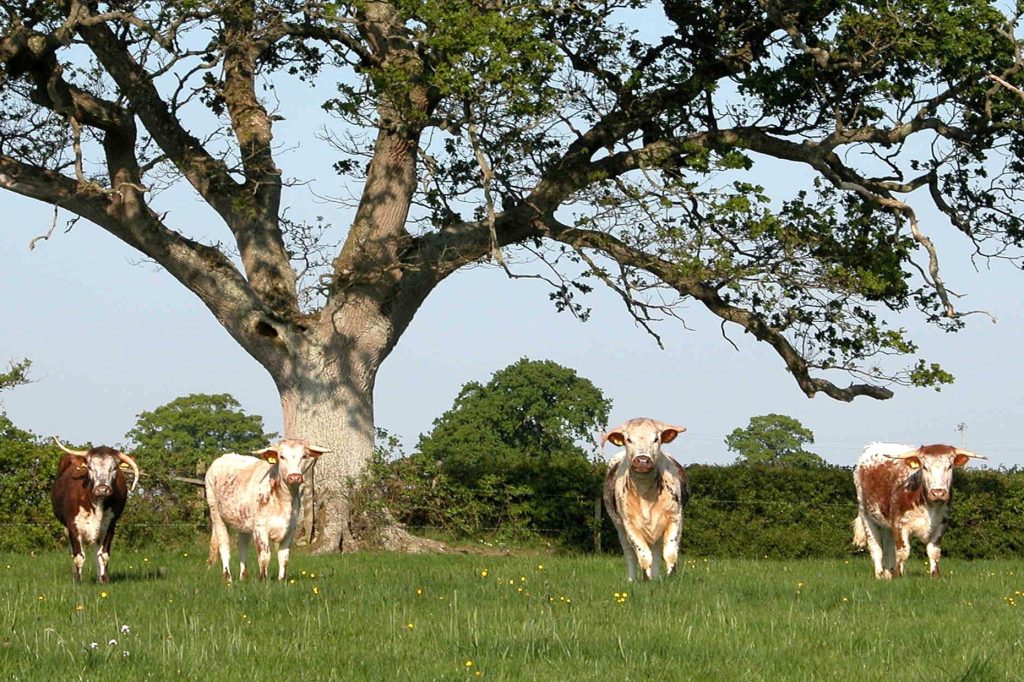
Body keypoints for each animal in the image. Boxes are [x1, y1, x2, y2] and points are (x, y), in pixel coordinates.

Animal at [50, 437, 140, 583]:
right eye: (90, 467)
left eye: (114, 467)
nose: (102, 489)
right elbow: (78, 556)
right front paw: (78, 581)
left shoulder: (110, 526)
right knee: (72, 551)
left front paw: (103, 580)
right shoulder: (73, 526)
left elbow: (103, 555)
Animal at [205, 438, 330, 581]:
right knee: (224, 546)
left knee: (242, 546)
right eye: (281, 456)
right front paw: (263, 580)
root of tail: (224, 457)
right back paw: (228, 578)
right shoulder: (260, 528)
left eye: (304, 456)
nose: (294, 476)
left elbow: (283, 557)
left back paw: (243, 578)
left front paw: (282, 580)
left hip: (243, 520)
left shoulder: (290, 529)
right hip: (216, 514)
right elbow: (265, 556)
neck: (284, 500)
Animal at [602, 418, 690, 581]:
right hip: (619, 528)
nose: (642, 460)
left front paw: (670, 579)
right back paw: (632, 580)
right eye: (628, 439)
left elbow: (670, 552)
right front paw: (646, 580)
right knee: (630, 555)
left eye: (656, 439)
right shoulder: (629, 523)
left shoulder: (675, 517)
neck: (646, 491)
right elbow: (643, 555)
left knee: (657, 552)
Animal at [853, 442, 985, 579]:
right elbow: (903, 551)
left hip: (887, 524)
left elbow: (934, 551)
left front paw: (935, 575)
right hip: (866, 516)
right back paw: (879, 575)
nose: (938, 492)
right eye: (925, 467)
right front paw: (898, 575)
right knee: (876, 548)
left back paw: (888, 574)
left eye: (949, 466)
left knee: (889, 549)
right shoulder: (899, 525)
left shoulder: (941, 525)